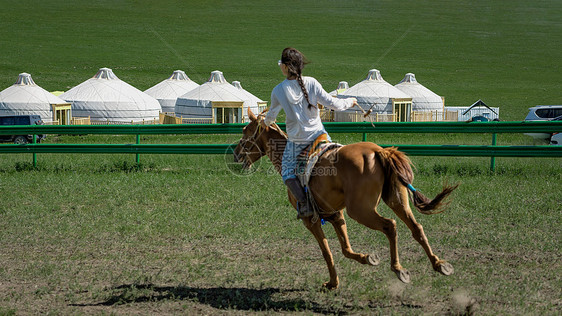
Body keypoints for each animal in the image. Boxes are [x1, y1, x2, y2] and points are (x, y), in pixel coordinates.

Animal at [234, 109, 458, 288]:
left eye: (245, 132)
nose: (236, 154)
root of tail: (379, 151)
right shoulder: (335, 214)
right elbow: (345, 249)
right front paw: (367, 258)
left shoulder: (310, 220)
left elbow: (326, 251)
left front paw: (333, 283)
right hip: (397, 200)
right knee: (416, 228)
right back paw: (439, 264)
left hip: (361, 210)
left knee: (390, 225)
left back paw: (398, 269)